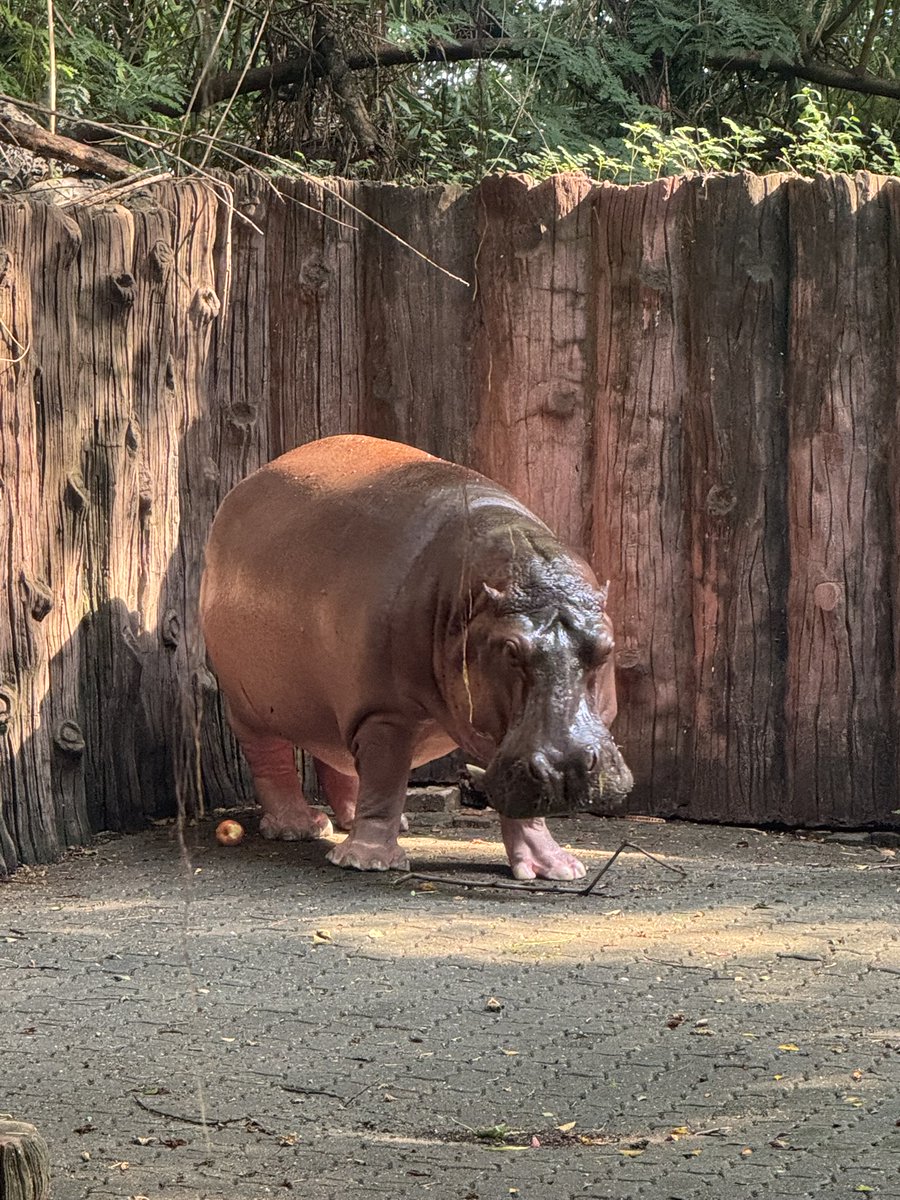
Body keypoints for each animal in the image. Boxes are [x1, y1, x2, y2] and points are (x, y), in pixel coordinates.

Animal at [199, 435, 632, 880]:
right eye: (511, 649)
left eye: (605, 647)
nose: (566, 767)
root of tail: (246, 485)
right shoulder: (385, 713)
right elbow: (386, 779)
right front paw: (367, 862)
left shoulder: (504, 734)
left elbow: (521, 805)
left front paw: (558, 870)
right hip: (250, 704)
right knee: (273, 760)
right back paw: (299, 828)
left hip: (334, 702)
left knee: (339, 760)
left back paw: (361, 822)